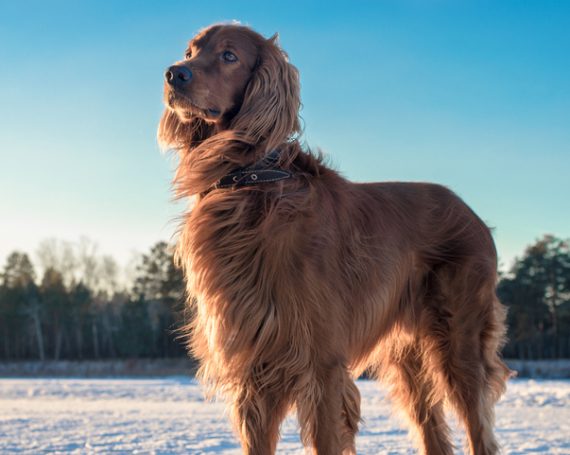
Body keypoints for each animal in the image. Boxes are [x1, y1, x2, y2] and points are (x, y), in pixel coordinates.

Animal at [156, 23, 510, 454]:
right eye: (191, 51)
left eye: (229, 56)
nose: (174, 74)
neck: (252, 184)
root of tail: (473, 214)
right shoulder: (253, 371)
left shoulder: (320, 365)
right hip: (408, 360)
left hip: (460, 345)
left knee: (479, 430)